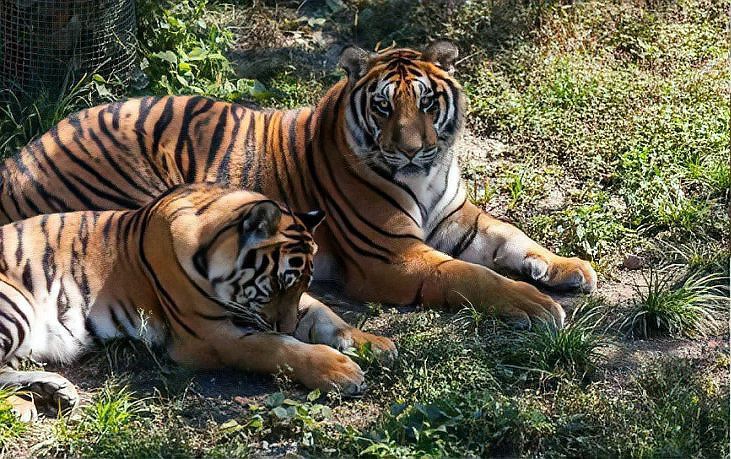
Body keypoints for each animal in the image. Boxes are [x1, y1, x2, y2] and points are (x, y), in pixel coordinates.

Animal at [0, 40, 596, 331]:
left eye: (428, 104)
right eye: (384, 107)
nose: (410, 150)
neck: (427, 177)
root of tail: (21, 156)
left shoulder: (459, 218)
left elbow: (512, 237)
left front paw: (571, 268)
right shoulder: (395, 257)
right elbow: (473, 276)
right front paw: (534, 304)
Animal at [0, 183, 393, 421]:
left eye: (300, 285)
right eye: (278, 285)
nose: (287, 324)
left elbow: (328, 316)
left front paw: (375, 344)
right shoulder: (212, 337)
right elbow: (279, 347)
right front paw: (341, 371)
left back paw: (54, 391)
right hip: (15, 307)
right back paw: (27, 405)